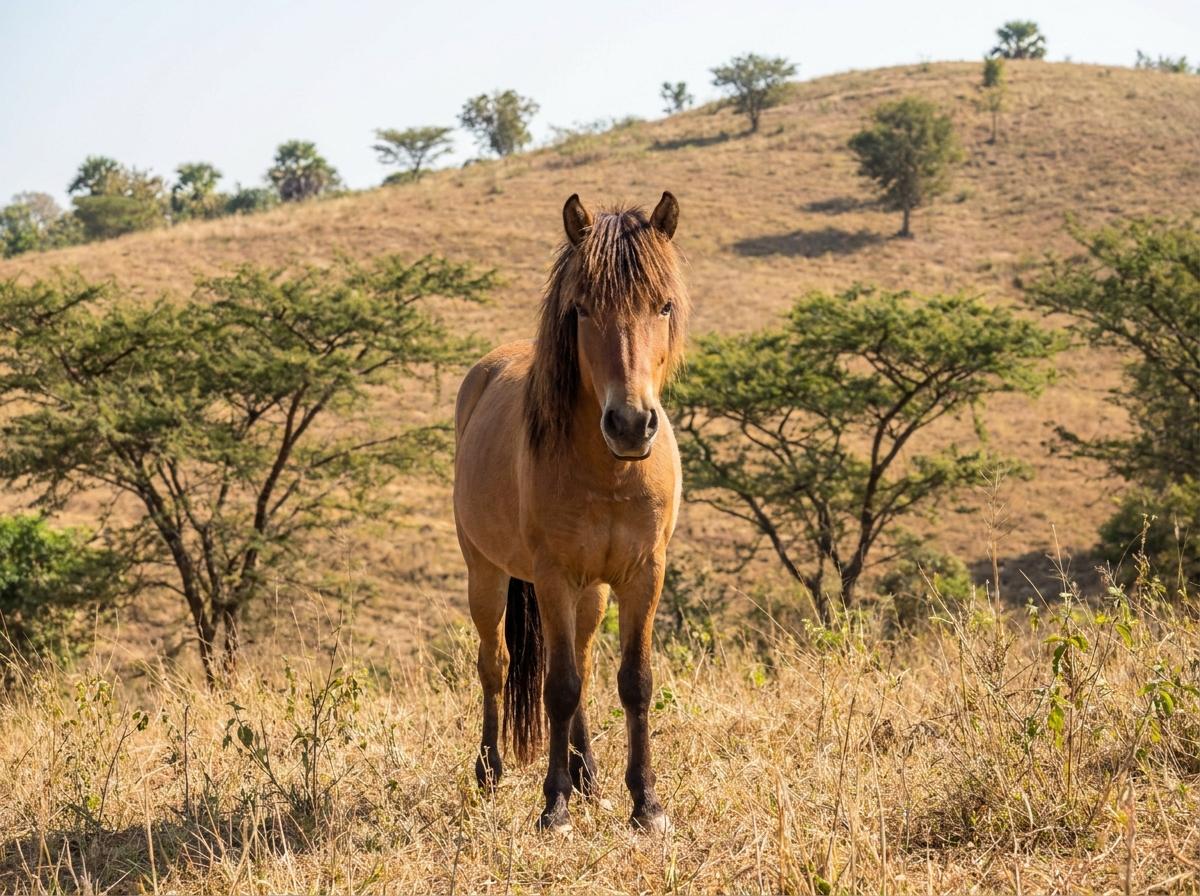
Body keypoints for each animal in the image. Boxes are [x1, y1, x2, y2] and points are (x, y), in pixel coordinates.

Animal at [452, 191, 689, 833]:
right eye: (581, 309)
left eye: (663, 305)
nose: (631, 424)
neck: (610, 473)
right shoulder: (554, 577)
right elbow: (558, 686)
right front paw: (553, 806)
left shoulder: (642, 575)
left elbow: (634, 682)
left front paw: (646, 803)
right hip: (485, 573)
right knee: (496, 664)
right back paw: (491, 770)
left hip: (594, 591)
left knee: (580, 659)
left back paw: (589, 777)